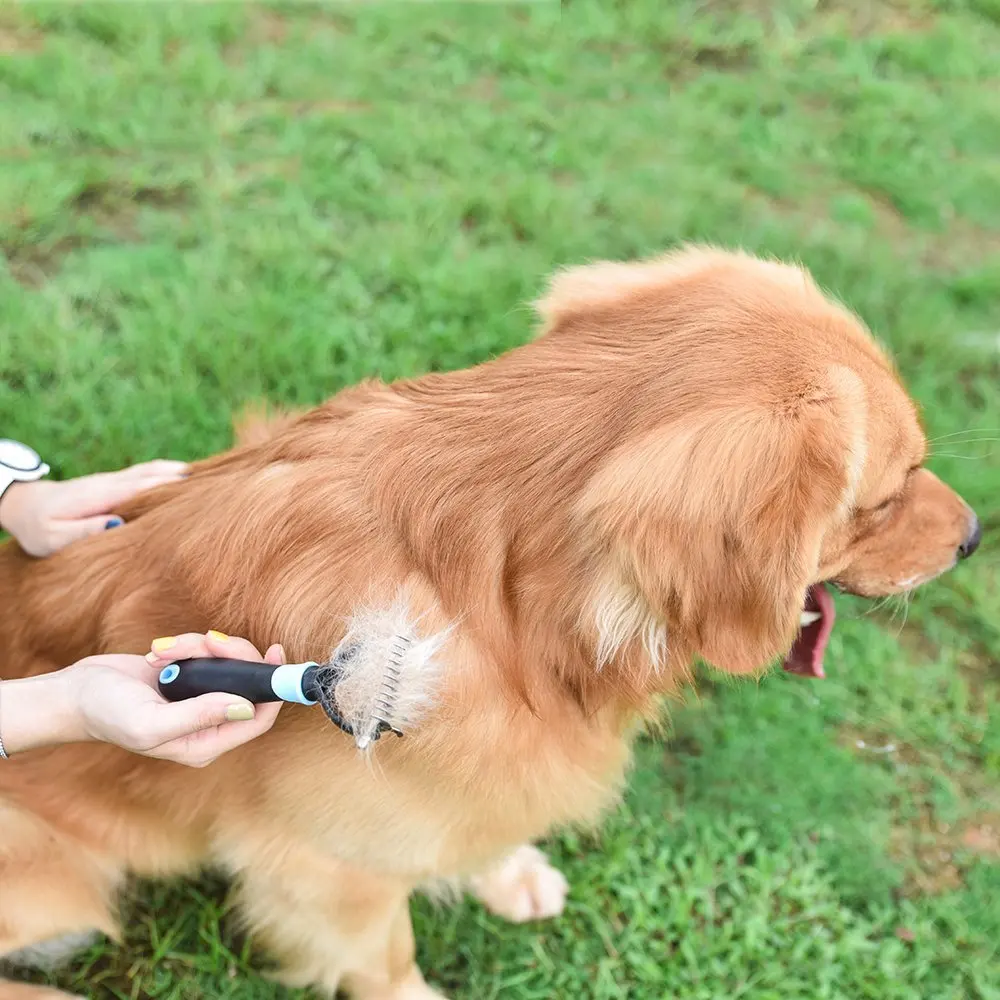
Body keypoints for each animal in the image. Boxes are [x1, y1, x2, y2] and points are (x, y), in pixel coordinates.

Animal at [0, 248, 980, 1000]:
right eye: (885, 498)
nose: (975, 535)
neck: (507, 615)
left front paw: (503, 872)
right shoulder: (321, 868)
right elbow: (387, 959)